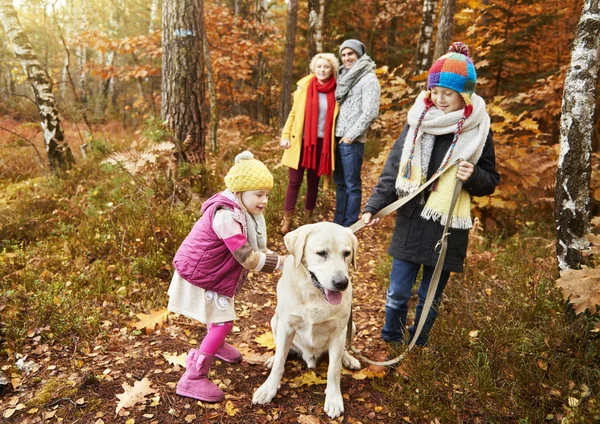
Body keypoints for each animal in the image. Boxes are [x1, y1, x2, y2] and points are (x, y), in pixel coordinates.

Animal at [252, 222, 360, 418]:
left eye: (347, 253)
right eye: (321, 253)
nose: (341, 283)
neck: (314, 293)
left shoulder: (339, 332)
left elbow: (334, 369)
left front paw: (333, 399)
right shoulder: (286, 326)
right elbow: (280, 362)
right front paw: (268, 389)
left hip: (351, 326)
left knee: (341, 352)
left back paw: (349, 358)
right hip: (275, 321)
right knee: (283, 351)